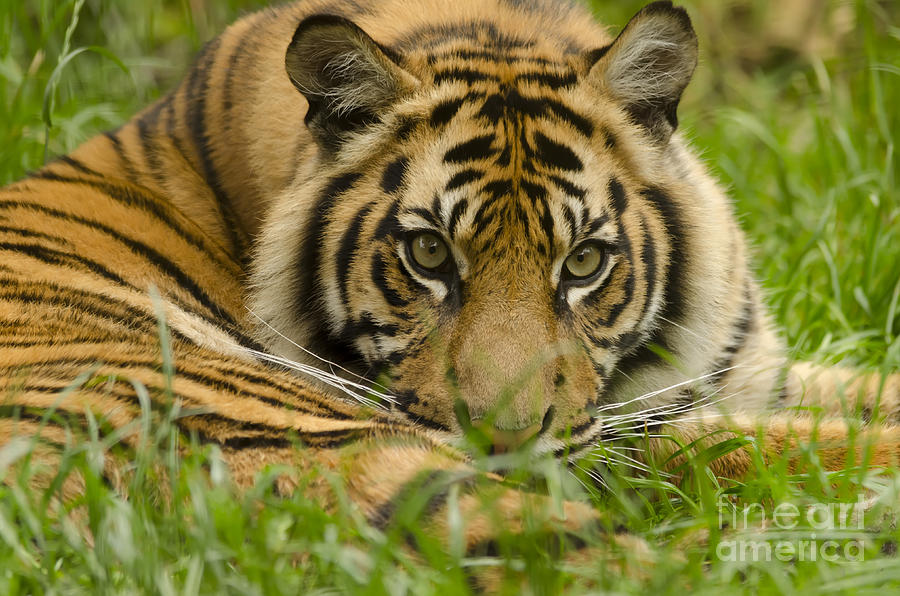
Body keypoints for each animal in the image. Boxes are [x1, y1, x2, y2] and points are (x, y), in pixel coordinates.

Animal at [1, 0, 900, 564]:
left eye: (583, 263)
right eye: (430, 256)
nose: (505, 443)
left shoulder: (751, 376)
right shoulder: (634, 439)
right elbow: (789, 443)